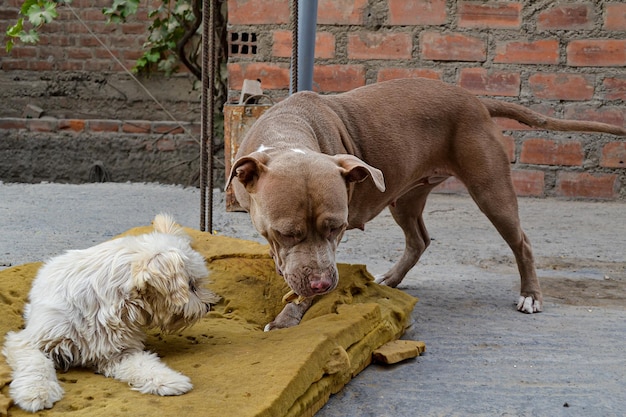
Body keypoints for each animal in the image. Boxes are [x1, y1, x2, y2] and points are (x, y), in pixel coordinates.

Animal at [0, 213, 219, 412]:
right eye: (191, 286)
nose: (209, 306)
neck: (113, 306)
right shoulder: (29, 341)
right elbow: (37, 364)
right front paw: (37, 393)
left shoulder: (119, 353)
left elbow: (144, 364)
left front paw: (168, 380)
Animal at [225, 78, 624, 330]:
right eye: (286, 232)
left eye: (337, 228)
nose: (323, 285)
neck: (288, 135)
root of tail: (475, 100)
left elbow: (301, 287)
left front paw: (287, 317)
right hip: (405, 196)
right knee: (419, 239)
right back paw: (392, 278)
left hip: (491, 190)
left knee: (521, 242)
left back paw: (530, 296)